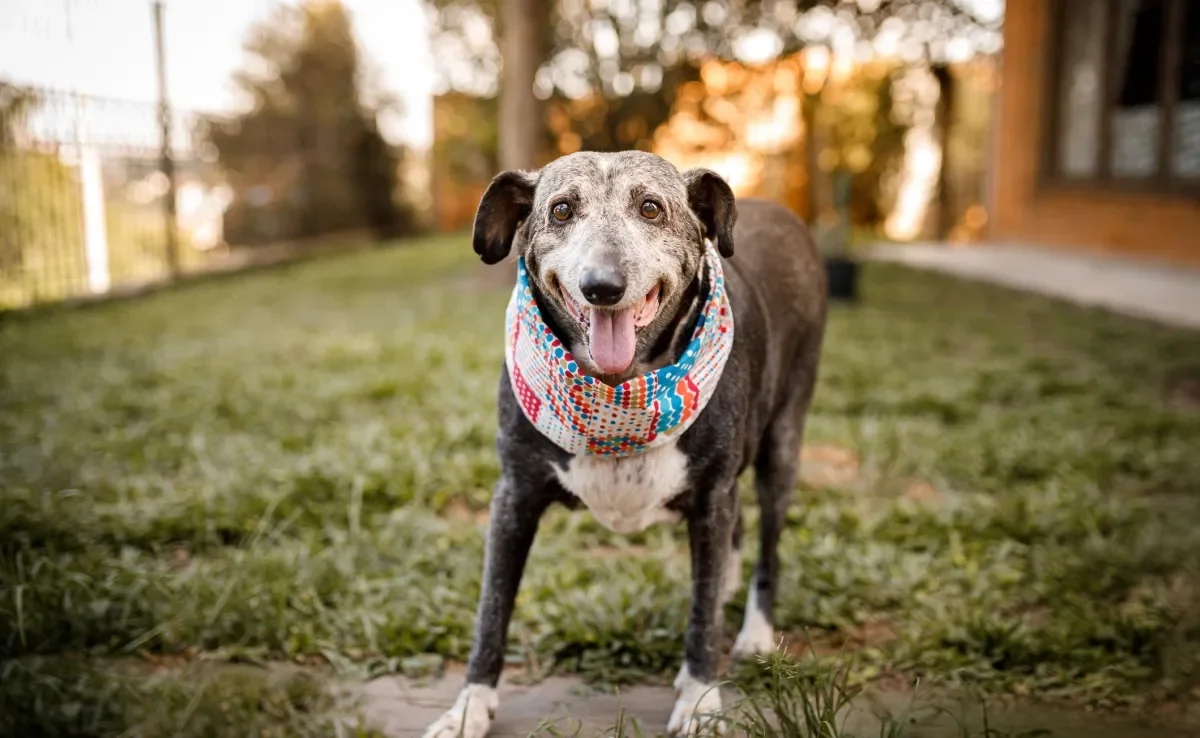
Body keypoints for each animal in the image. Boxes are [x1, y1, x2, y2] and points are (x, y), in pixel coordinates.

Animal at [422, 151, 825, 738]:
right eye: (562, 209)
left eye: (651, 208)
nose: (602, 285)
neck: (617, 392)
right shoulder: (513, 497)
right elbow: (491, 610)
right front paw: (469, 706)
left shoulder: (713, 496)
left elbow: (702, 618)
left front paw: (700, 700)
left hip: (783, 443)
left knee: (767, 543)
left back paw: (753, 632)